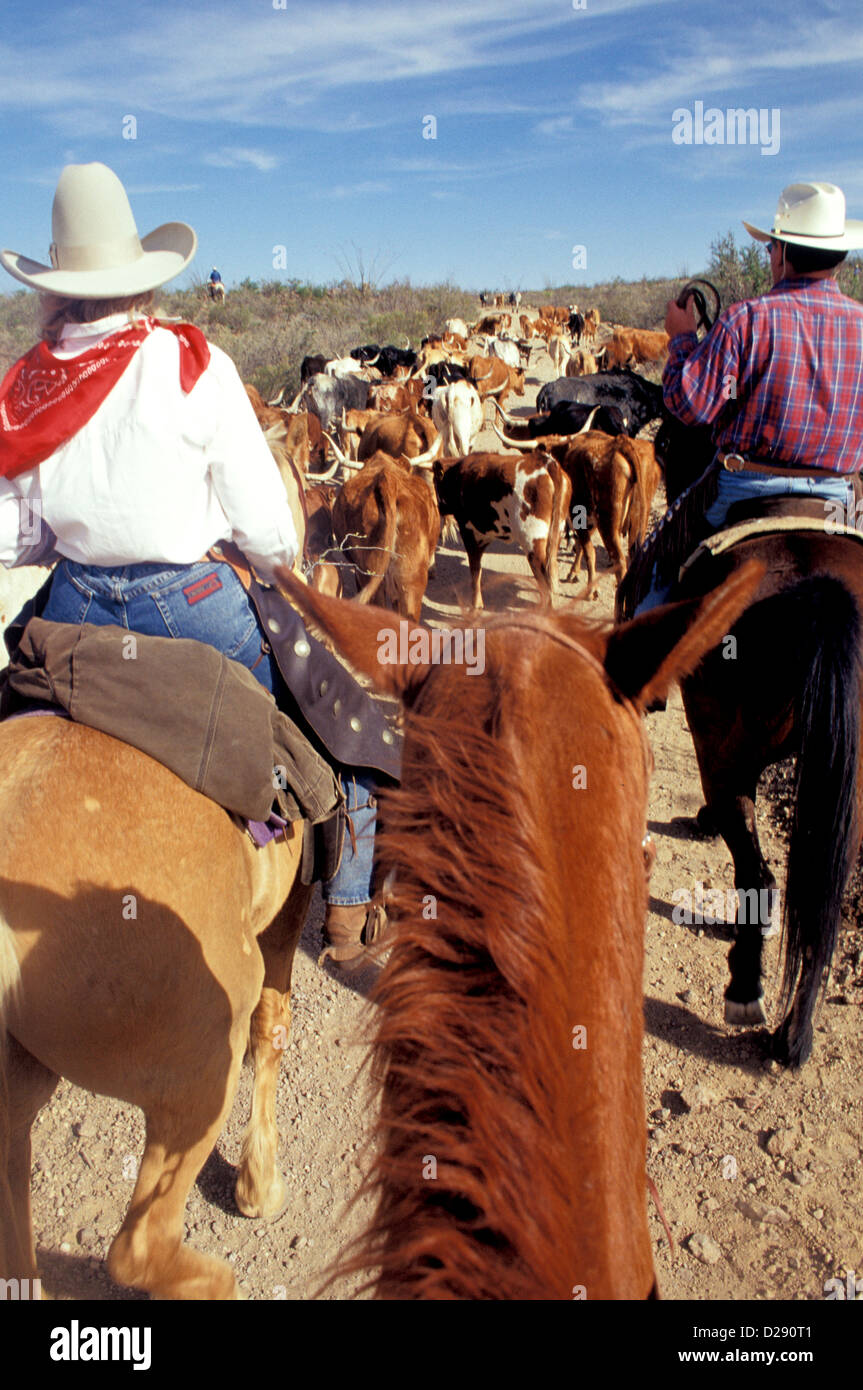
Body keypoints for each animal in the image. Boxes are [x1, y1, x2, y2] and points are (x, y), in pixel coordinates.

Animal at [433, 450, 569, 608]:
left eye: (435, 481)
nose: (439, 508)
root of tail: (546, 462)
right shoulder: (483, 537)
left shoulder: (469, 532)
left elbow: (475, 571)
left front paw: (476, 604)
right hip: (555, 537)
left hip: (533, 544)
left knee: (545, 584)